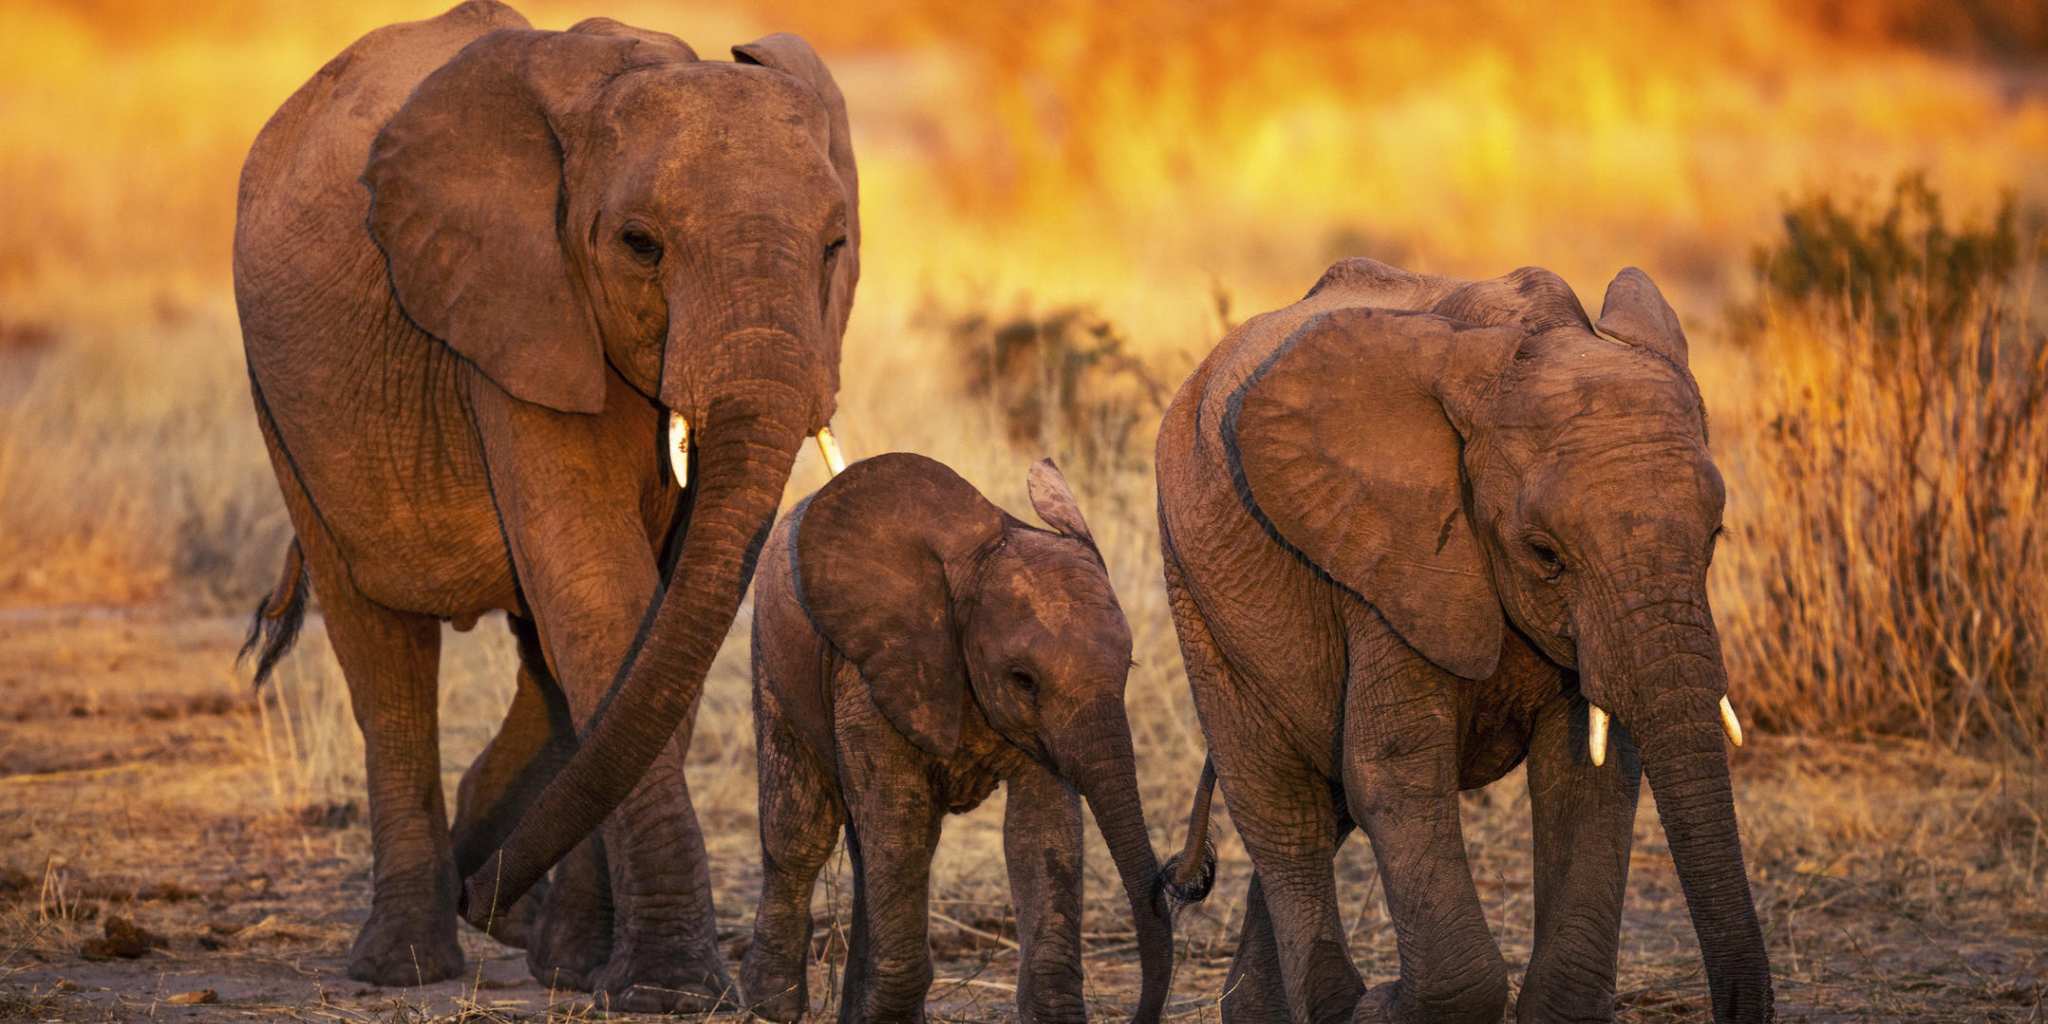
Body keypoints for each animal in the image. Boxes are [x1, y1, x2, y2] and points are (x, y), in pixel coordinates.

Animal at [230, 1, 859, 1008]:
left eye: (835, 247)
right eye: (640, 245)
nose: (484, 892)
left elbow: (657, 613)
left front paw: (585, 966)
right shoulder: (513, 305)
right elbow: (601, 590)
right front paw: (670, 994)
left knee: (546, 661)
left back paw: (517, 916)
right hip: (282, 400)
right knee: (383, 654)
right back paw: (409, 959)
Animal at [741, 453, 1205, 1023]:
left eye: (1129, 666)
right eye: (1023, 679)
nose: (1180, 876)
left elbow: (1041, 833)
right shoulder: (873, 669)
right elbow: (899, 819)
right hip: (771, 654)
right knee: (800, 827)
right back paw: (772, 1005)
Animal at [1156, 258, 1773, 1023]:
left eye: (1714, 536)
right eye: (1544, 554)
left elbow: (1587, 773)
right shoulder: (1389, 555)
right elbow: (1392, 768)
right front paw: (1385, 1005)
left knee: (1321, 805)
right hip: (1196, 589)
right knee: (1281, 806)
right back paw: (1337, 1001)